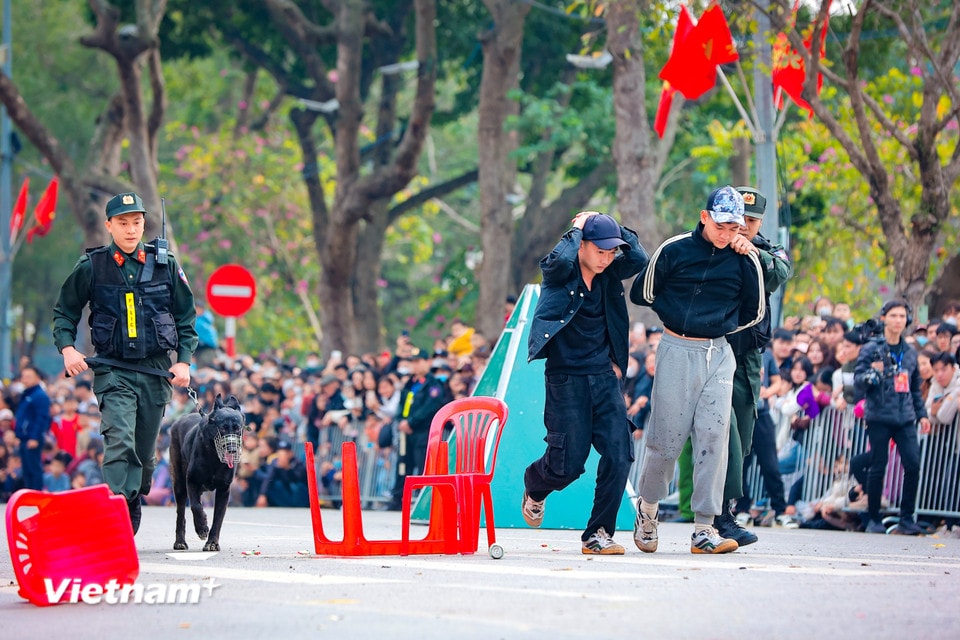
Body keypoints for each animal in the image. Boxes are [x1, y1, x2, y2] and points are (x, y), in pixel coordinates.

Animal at [172, 396, 248, 552]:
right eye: (223, 427)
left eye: (237, 427)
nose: (232, 450)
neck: (214, 458)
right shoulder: (192, 481)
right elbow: (196, 506)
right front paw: (202, 528)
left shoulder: (224, 490)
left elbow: (218, 518)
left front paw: (212, 543)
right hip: (180, 484)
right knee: (180, 513)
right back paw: (180, 541)